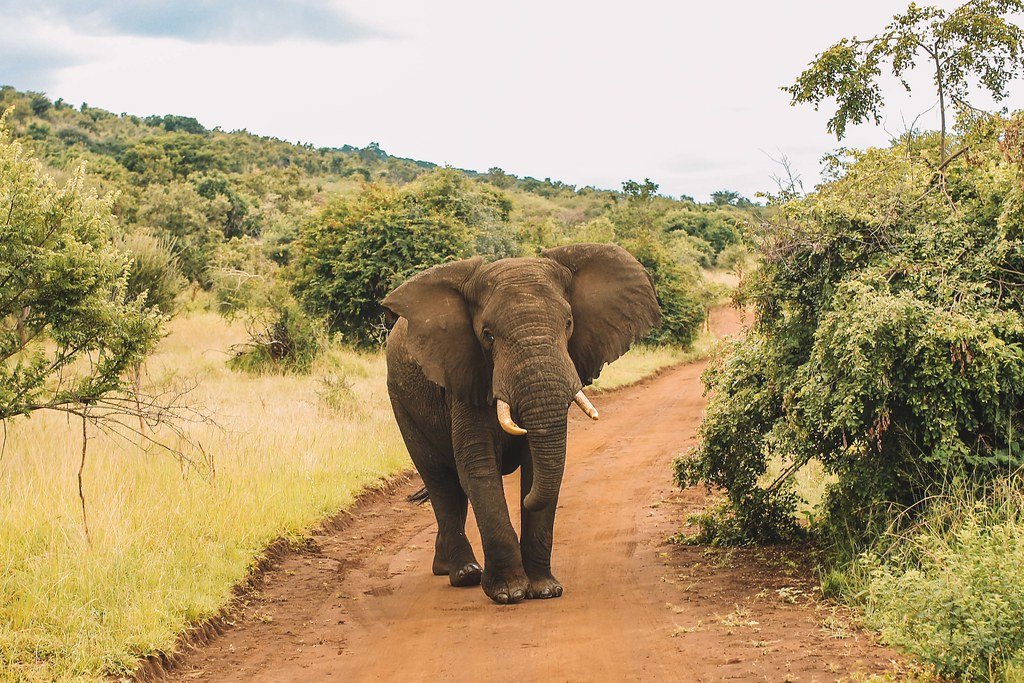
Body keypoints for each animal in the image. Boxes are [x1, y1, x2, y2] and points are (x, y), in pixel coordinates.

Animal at [382, 243, 660, 604]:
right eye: (487, 336)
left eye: (568, 324)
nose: (525, 500)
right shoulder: (466, 373)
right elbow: (479, 468)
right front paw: (510, 592)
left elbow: (536, 465)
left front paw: (545, 590)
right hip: (401, 401)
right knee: (441, 481)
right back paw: (463, 574)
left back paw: (446, 568)